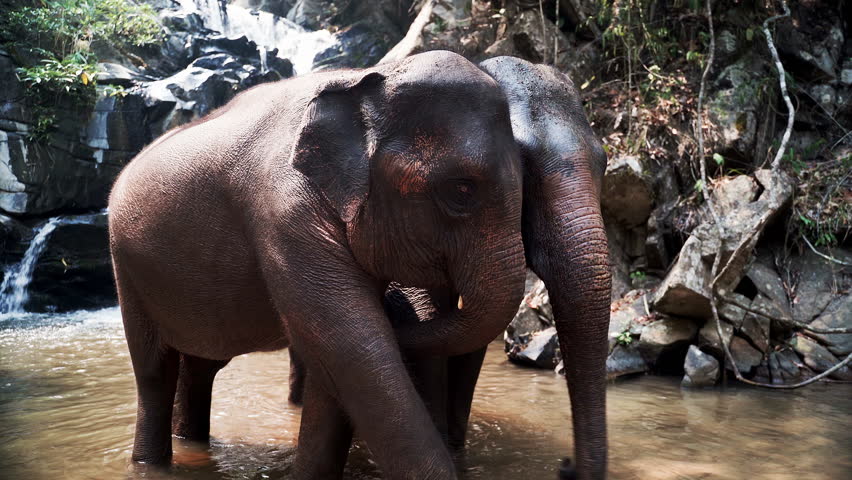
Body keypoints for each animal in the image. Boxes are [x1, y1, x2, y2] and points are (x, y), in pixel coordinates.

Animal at [107, 50, 529, 479]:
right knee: (155, 372)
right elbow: (350, 349)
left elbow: (336, 358)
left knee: (200, 365)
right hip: (126, 268)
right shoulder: (284, 212)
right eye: (462, 190)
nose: (399, 309)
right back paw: (150, 462)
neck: (364, 81)